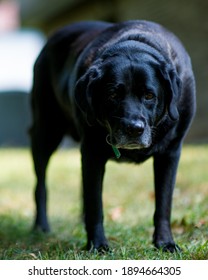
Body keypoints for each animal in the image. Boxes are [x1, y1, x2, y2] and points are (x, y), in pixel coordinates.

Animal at [30, 19, 196, 252]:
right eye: (112, 95)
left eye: (149, 95)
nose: (134, 128)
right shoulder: (92, 153)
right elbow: (95, 203)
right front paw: (97, 245)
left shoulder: (170, 153)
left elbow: (164, 203)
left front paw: (165, 243)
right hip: (46, 133)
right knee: (41, 185)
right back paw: (41, 227)